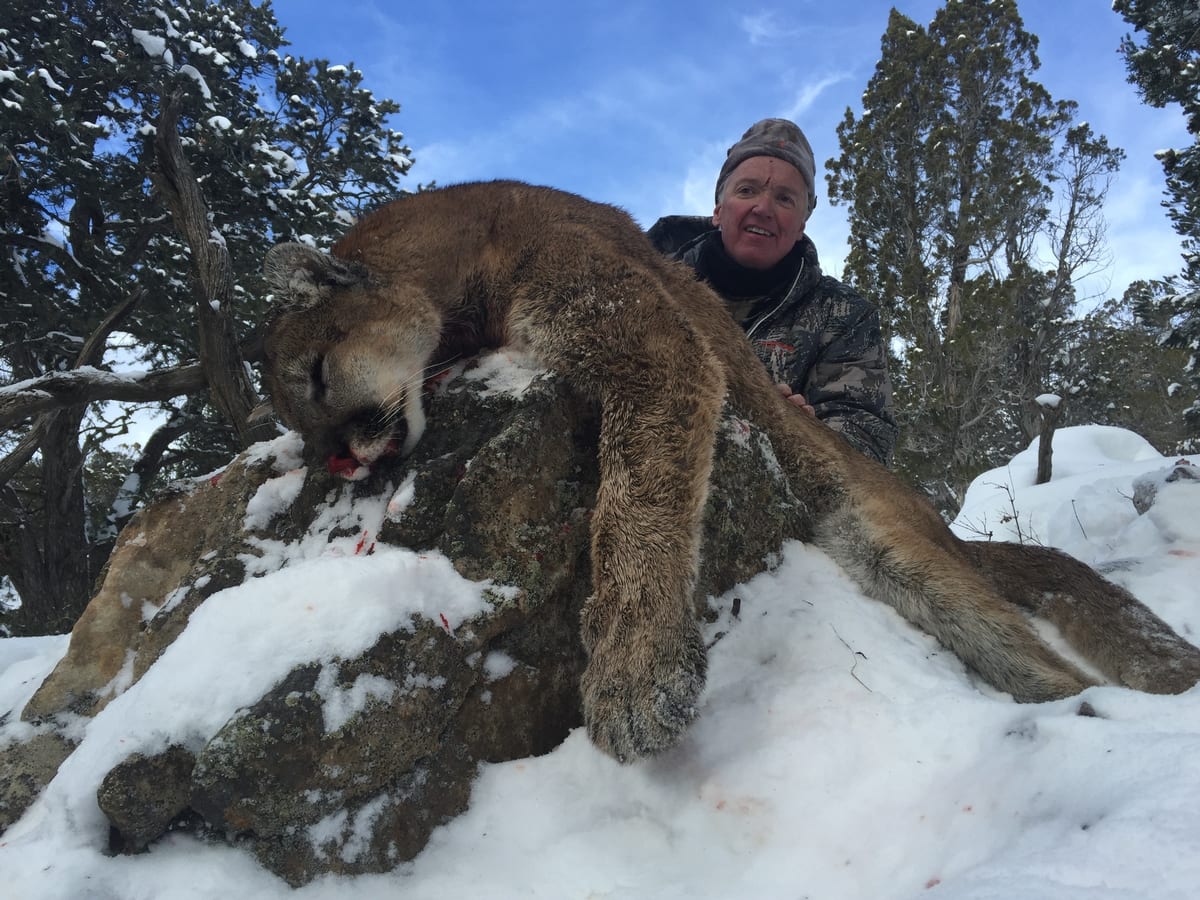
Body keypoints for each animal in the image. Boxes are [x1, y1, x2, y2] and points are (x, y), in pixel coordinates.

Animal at [261, 180, 1200, 762]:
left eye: (317, 376)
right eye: (298, 429)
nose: (339, 457)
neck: (462, 252)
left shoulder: (645, 341)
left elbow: (636, 500)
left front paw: (636, 673)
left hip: (910, 551)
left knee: (1033, 654)